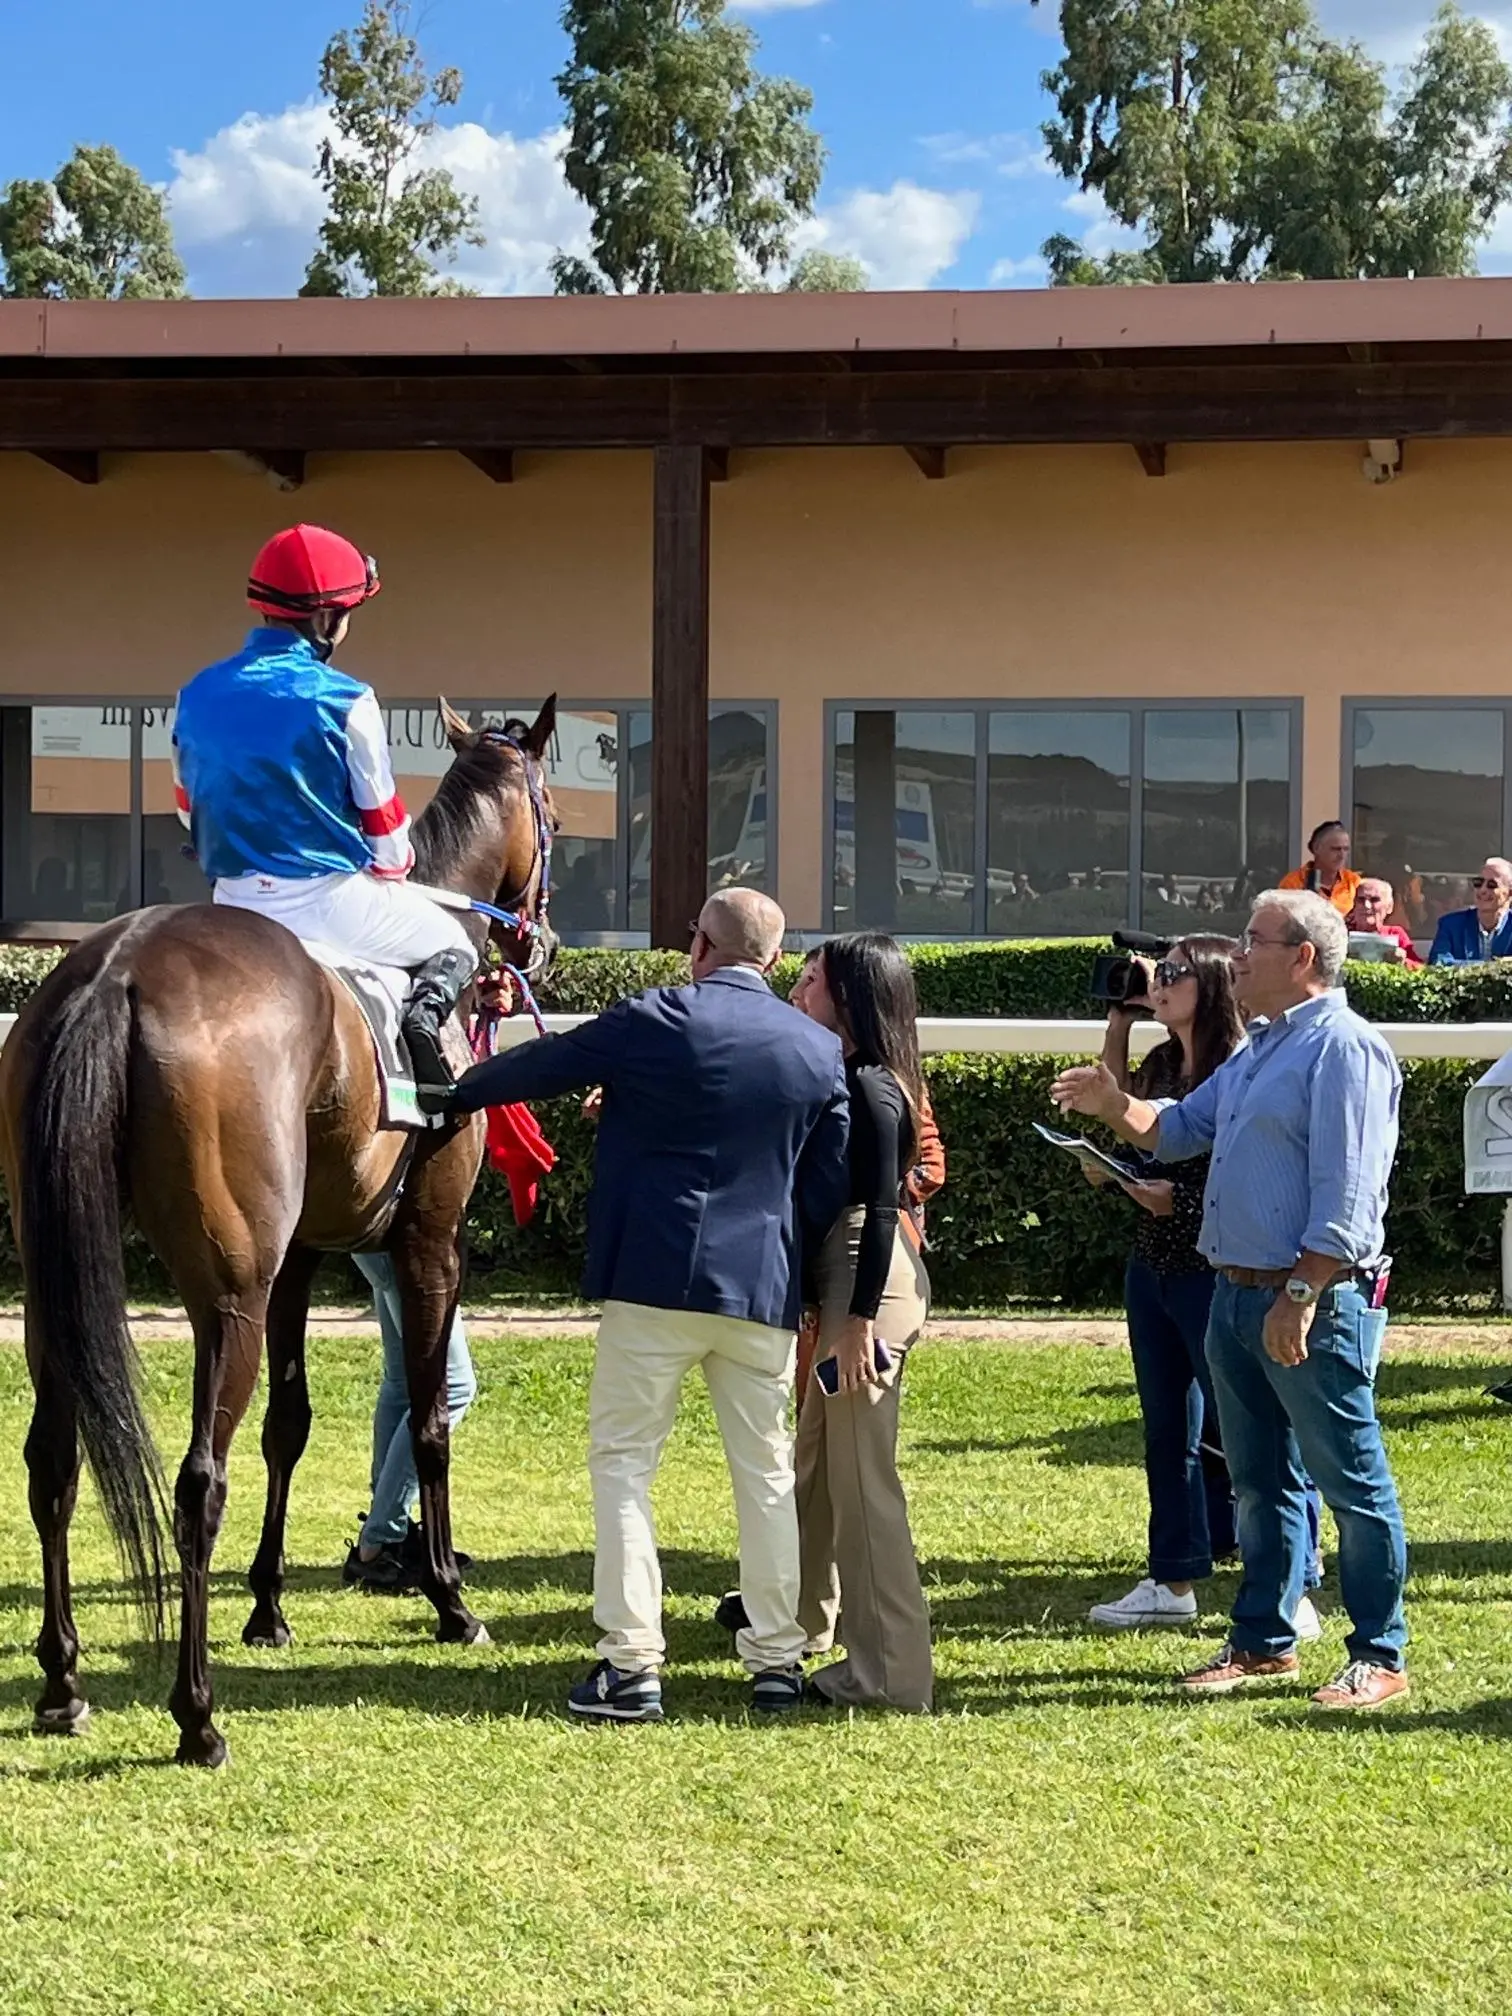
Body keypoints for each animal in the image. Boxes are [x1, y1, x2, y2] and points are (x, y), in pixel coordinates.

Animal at [0, 697, 564, 1766]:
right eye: (551, 812)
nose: (541, 940)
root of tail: (115, 970)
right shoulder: (429, 1242)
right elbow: (428, 1423)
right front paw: (449, 1600)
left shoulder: (302, 1259)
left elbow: (290, 1427)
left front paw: (267, 1609)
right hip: (230, 1293)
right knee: (196, 1483)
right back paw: (196, 1714)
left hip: (63, 1276)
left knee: (52, 1458)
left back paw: (61, 1683)